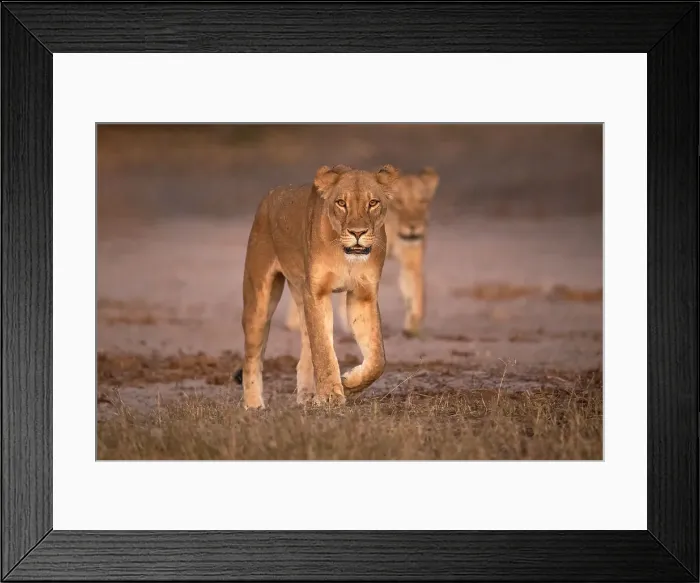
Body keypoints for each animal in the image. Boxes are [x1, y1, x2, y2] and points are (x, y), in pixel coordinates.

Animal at [233, 164, 400, 409]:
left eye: (373, 202)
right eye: (341, 203)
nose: (357, 233)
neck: (345, 256)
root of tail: (269, 195)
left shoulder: (362, 294)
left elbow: (378, 357)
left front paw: (349, 383)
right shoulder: (317, 292)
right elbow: (323, 349)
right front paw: (330, 395)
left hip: (301, 295)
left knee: (305, 348)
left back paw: (307, 396)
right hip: (259, 297)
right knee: (252, 357)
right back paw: (254, 405)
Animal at [285, 167, 440, 338]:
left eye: (423, 201)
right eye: (399, 202)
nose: (414, 227)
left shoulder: (411, 260)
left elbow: (415, 291)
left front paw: (413, 326)